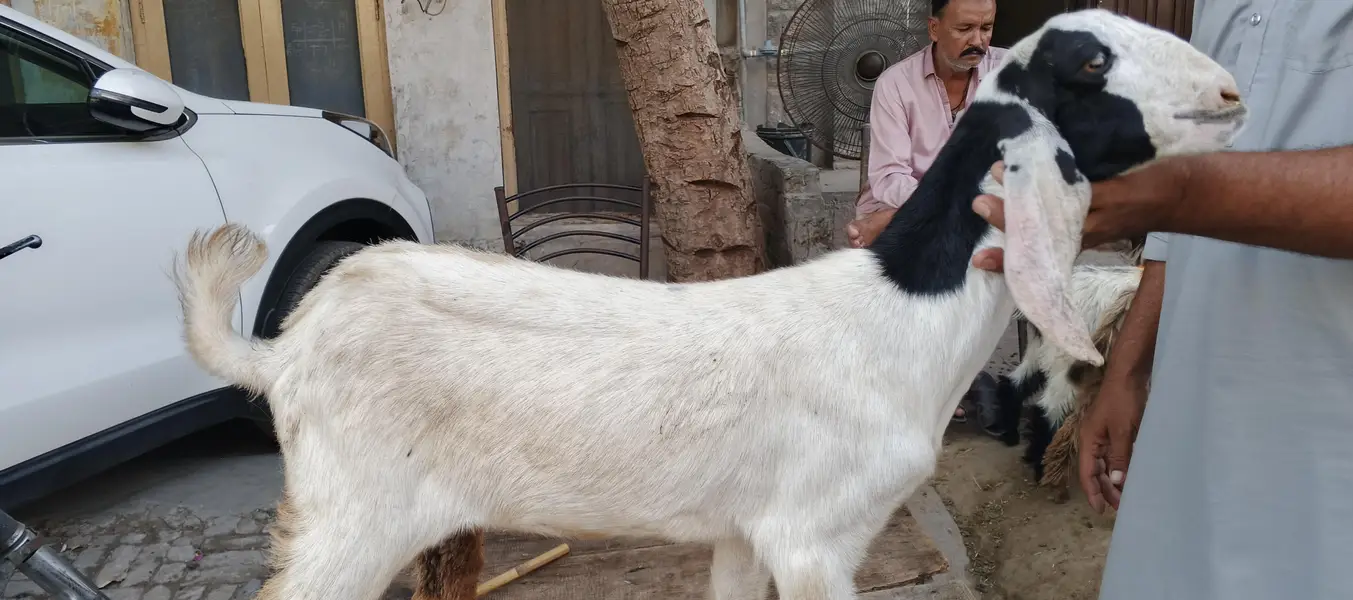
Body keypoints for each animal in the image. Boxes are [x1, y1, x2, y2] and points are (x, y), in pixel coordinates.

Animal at [173, 10, 1246, 600]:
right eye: (1090, 64)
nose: (1232, 91)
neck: (897, 315)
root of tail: (284, 351)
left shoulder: (744, 530)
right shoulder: (817, 537)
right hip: (350, 521)